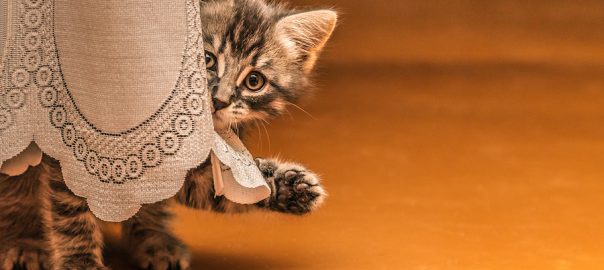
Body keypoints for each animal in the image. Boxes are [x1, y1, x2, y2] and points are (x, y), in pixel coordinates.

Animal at [0, 0, 336, 268]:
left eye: (255, 81)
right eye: (207, 59)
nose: (219, 100)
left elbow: (223, 188)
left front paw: (288, 186)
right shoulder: (74, 146)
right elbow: (71, 215)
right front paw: (80, 263)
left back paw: (155, 241)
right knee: (18, 191)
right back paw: (25, 242)